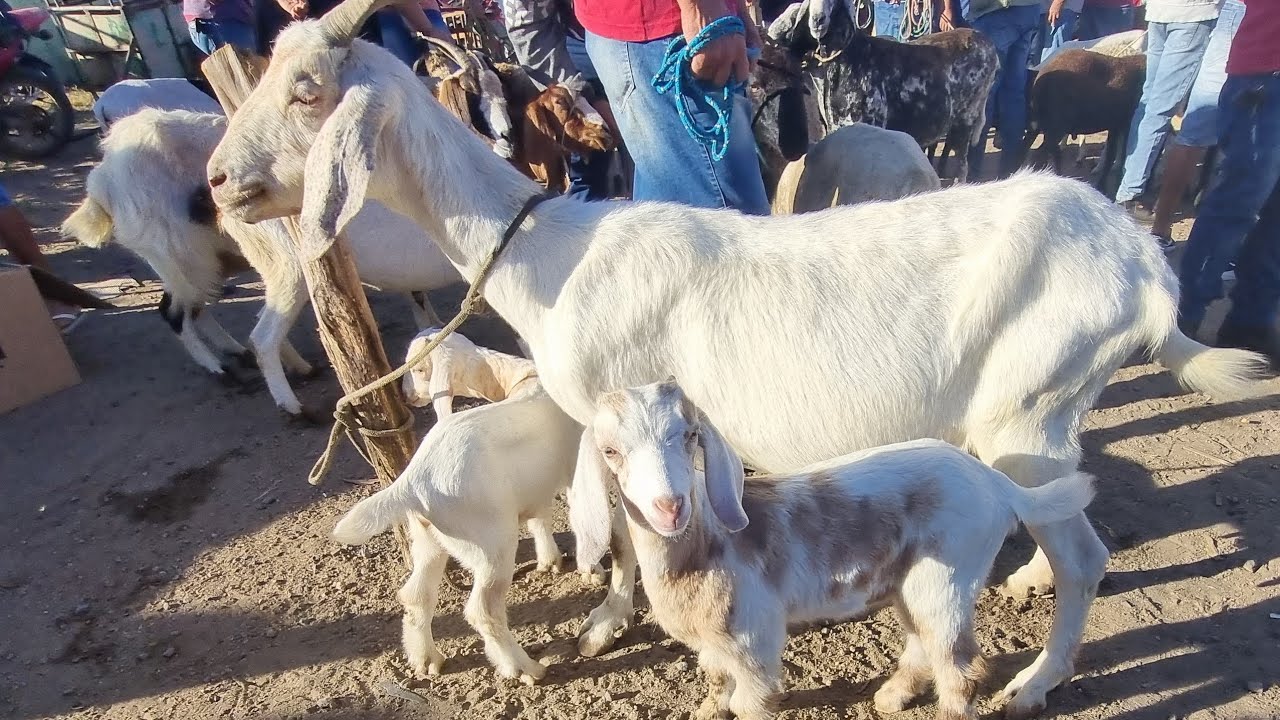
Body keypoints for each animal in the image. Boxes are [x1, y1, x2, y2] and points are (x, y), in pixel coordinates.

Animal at [62, 109, 462, 417]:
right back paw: (270, 394)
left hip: (222, 261)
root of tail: (103, 179)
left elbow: (421, 304)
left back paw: (263, 360)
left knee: (215, 312)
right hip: (216, 258)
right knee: (210, 321)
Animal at [333, 338, 579, 683]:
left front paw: (549, 561)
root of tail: (413, 480)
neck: (522, 377)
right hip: (490, 544)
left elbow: (540, 518)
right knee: (484, 611)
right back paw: (524, 668)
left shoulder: (536, 486)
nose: (407, 396)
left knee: (415, 596)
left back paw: (426, 660)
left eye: (420, 369)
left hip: (429, 537)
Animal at [587, 380, 1095, 720]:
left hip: (950, 574)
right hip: (911, 580)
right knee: (921, 641)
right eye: (609, 451)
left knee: (961, 668)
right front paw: (706, 712)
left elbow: (750, 701)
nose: (670, 506)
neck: (703, 546)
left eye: (690, 435)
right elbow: (715, 684)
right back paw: (891, 698)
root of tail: (994, 483)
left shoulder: (755, 640)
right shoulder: (714, 643)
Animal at [1025, 49, 1146, 196]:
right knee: (1040, 154)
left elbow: (1111, 155)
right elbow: (1118, 156)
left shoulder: (1115, 125)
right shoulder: (1124, 123)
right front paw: (1105, 187)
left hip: (1045, 125)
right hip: (1055, 126)